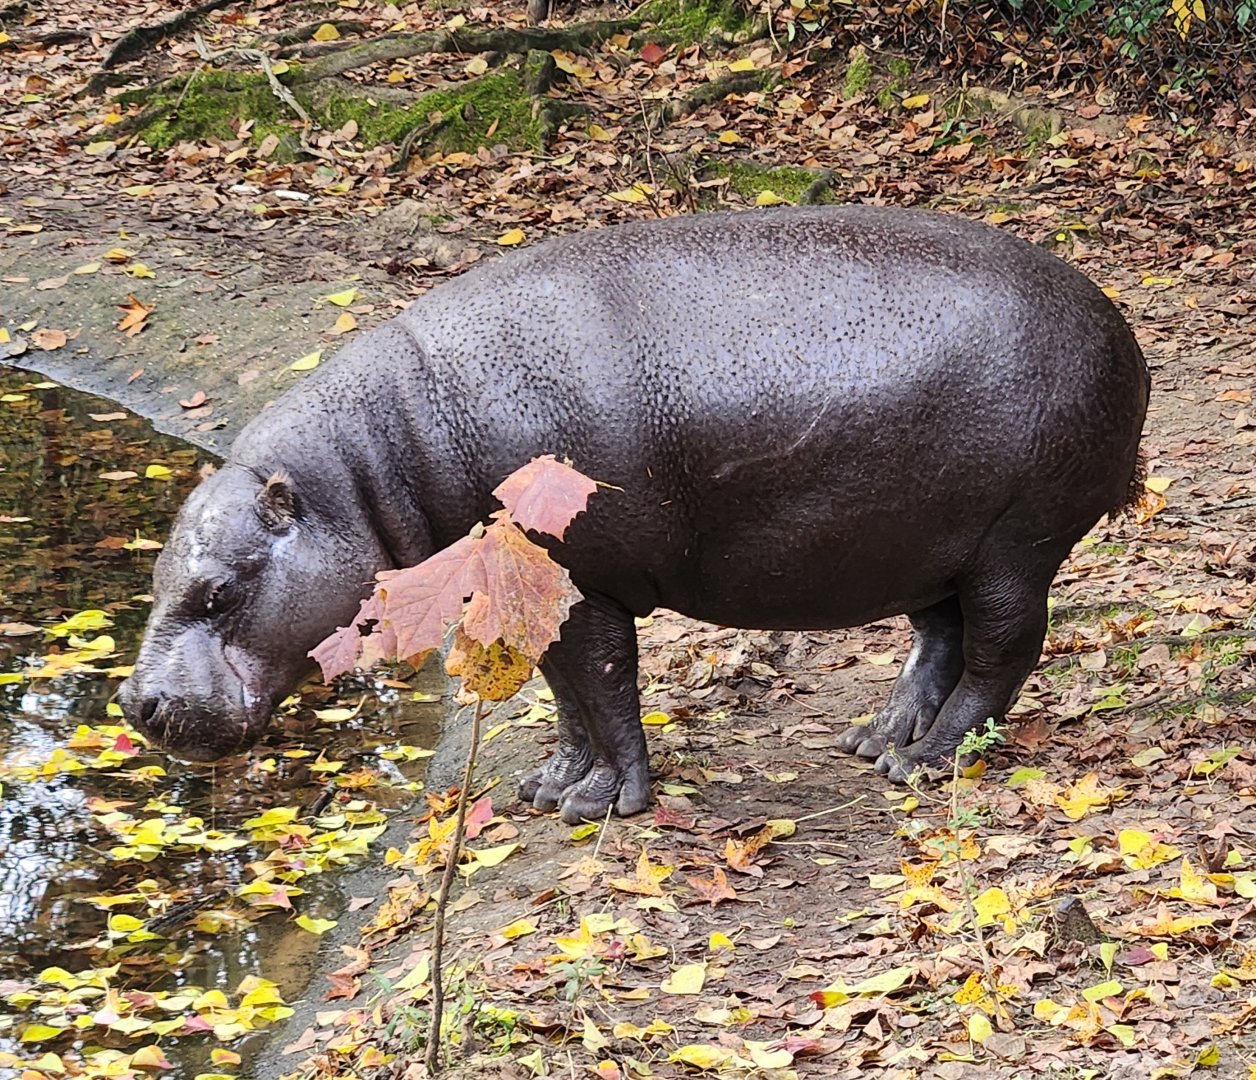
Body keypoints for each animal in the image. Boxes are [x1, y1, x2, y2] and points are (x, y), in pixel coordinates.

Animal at [118, 206, 1149, 824]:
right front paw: (550, 788)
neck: (376, 462)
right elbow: (565, 695)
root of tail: (1119, 325)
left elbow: (605, 688)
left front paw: (604, 804)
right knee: (939, 637)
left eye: (218, 593)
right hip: (925, 543)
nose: (135, 703)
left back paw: (924, 762)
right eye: (161, 578)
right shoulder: (534, 591)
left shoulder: (586, 582)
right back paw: (876, 738)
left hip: (1015, 542)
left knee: (1002, 649)